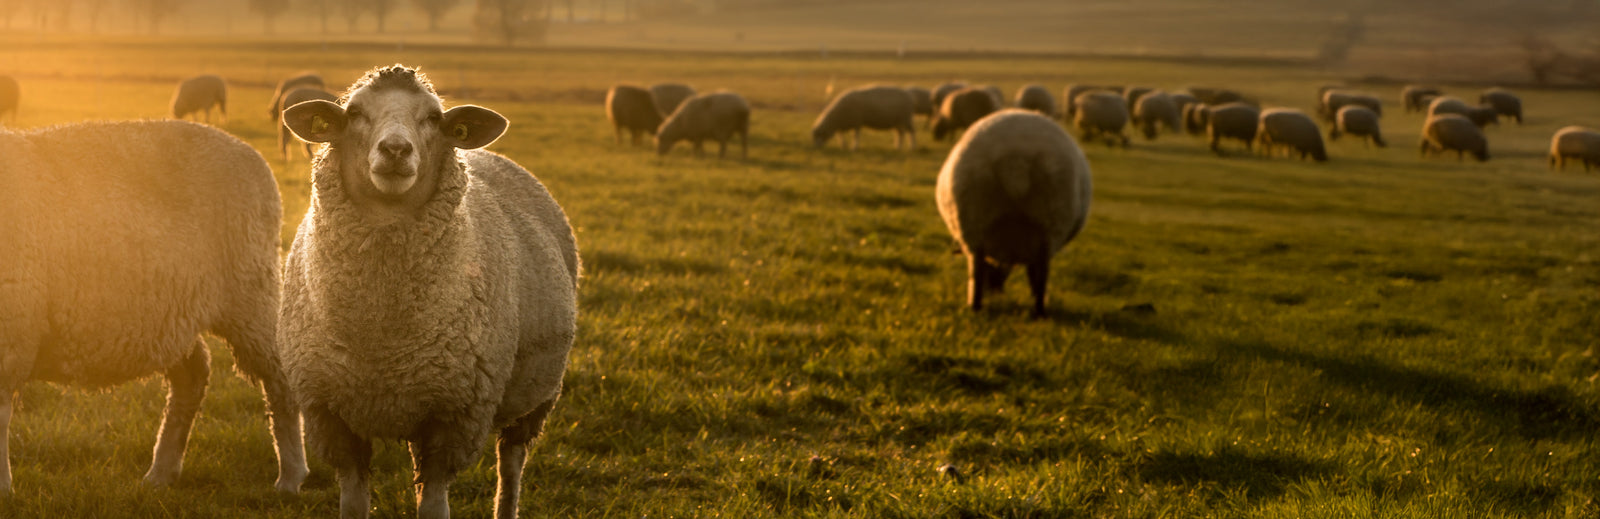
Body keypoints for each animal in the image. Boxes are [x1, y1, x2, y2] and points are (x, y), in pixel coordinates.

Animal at [0, 119, 307, 495]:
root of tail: (246, 149)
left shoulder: (12, 331)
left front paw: (2, 488)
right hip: (173, 314)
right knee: (193, 375)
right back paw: (162, 471)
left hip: (250, 292)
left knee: (278, 378)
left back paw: (290, 477)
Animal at [279, 64, 579, 519]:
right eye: (355, 113)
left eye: (435, 119)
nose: (396, 150)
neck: (381, 334)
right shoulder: (329, 415)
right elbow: (353, 502)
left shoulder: (455, 417)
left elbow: (434, 505)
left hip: (535, 397)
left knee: (511, 464)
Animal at [935, 109, 1092, 318]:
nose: (993, 291)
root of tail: (1016, 162)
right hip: (1050, 222)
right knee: (1040, 274)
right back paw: (1038, 311)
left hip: (975, 220)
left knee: (978, 269)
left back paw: (977, 306)